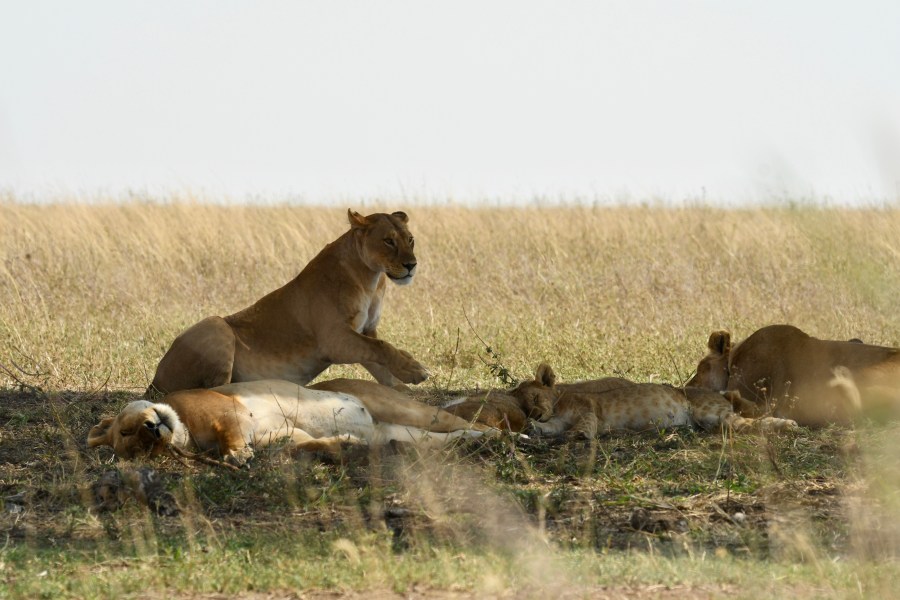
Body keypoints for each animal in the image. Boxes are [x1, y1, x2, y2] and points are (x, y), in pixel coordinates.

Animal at [147, 210, 428, 396]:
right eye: (388, 241)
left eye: (410, 239)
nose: (412, 265)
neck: (370, 278)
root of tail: (154, 380)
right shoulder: (334, 339)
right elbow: (382, 347)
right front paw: (414, 369)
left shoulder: (364, 330)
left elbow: (378, 359)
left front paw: (400, 384)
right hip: (216, 324)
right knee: (214, 389)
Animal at [508, 363, 796, 438]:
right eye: (524, 407)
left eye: (536, 396)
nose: (534, 415)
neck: (557, 403)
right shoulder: (557, 420)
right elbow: (552, 428)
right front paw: (535, 428)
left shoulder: (588, 410)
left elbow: (584, 424)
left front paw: (577, 436)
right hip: (712, 420)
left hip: (710, 411)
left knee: (750, 423)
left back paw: (789, 425)